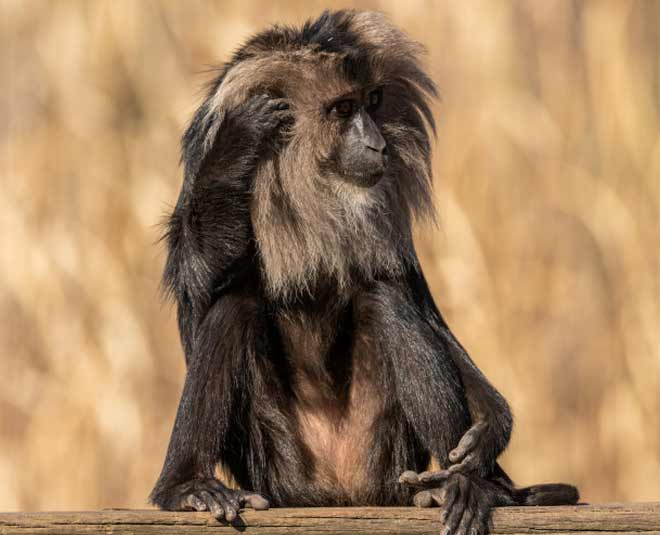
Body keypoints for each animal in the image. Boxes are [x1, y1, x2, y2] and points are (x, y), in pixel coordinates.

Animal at [150, 10, 579, 535]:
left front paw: (491, 430)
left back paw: (464, 485)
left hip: (386, 456)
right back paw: (184, 487)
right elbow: (197, 285)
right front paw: (239, 141)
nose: (377, 144)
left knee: (385, 300)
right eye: (341, 109)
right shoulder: (203, 151)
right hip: (278, 465)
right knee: (232, 306)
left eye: (371, 102)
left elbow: (413, 299)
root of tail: (342, 490)